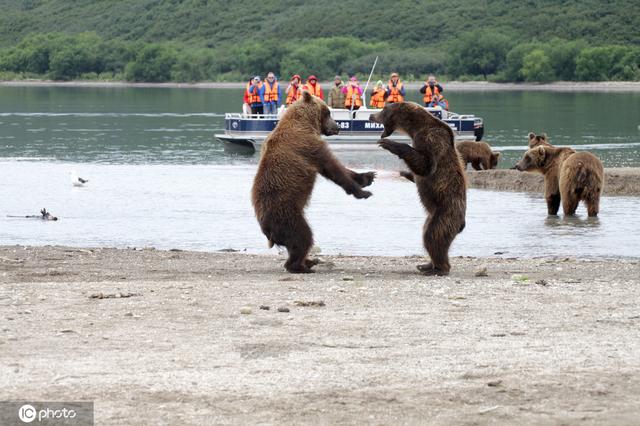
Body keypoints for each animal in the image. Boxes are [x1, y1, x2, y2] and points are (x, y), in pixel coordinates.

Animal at [251, 91, 376, 273]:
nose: (337, 127)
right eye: (328, 112)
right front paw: (363, 192)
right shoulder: (307, 145)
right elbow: (332, 168)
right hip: (286, 214)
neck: (306, 122)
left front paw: (367, 177)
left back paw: (310, 261)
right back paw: (302, 266)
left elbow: (338, 168)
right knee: (303, 237)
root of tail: (267, 231)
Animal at [369, 102, 466, 276]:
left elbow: (426, 165)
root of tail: (462, 223)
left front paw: (390, 144)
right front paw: (404, 172)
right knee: (427, 234)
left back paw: (439, 268)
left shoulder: (432, 139)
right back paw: (426, 265)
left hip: (446, 212)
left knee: (434, 236)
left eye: (383, 110)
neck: (416, 127)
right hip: (432, 215)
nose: (371, 116)